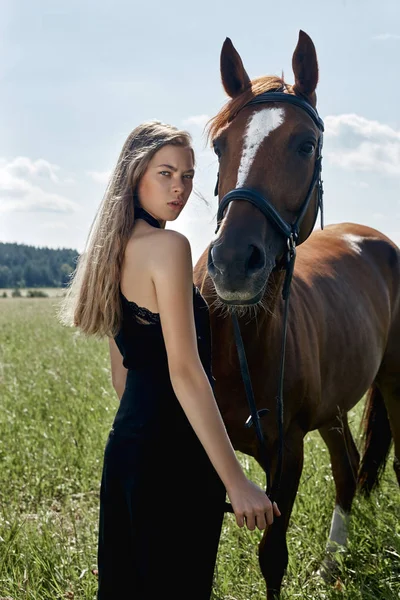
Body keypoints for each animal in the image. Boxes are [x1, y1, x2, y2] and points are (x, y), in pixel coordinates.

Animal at [192, 30, 398, 596]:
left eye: (305, 145)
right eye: (219, 145)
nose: (233, 263)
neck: (236, 339)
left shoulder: (287, 455)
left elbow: (272, 558)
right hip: (334, 408)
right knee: (348, 468)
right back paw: (331, 564)